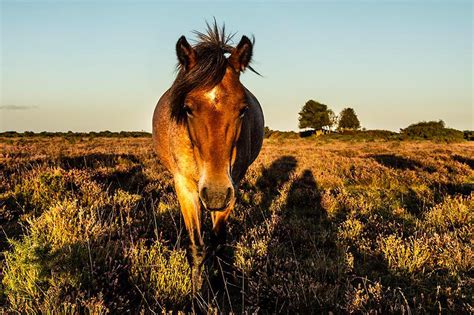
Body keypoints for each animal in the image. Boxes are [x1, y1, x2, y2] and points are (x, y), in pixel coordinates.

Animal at [152, 24, 262, 266]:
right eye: (187, 108)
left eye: (243, 109)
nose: (215, 193)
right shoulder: (184, 186)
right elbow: (197, 247)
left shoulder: (233, 185)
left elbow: (218, 242)